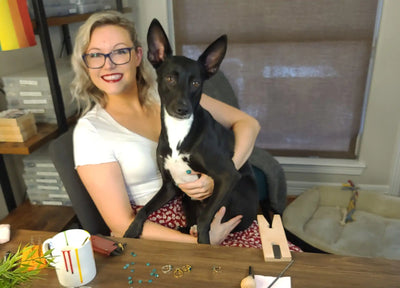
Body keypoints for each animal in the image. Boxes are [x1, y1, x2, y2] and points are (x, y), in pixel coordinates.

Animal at [123, 18, 258, 243]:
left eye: (195, 83)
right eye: (170, 78)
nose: (183, 109)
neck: (179, 131)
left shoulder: (228, 176)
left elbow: (205, 221)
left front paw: (204, 242)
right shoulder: (169, 186)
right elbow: (143, 210)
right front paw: (131, 231)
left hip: (235, 191)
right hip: (186, 199)